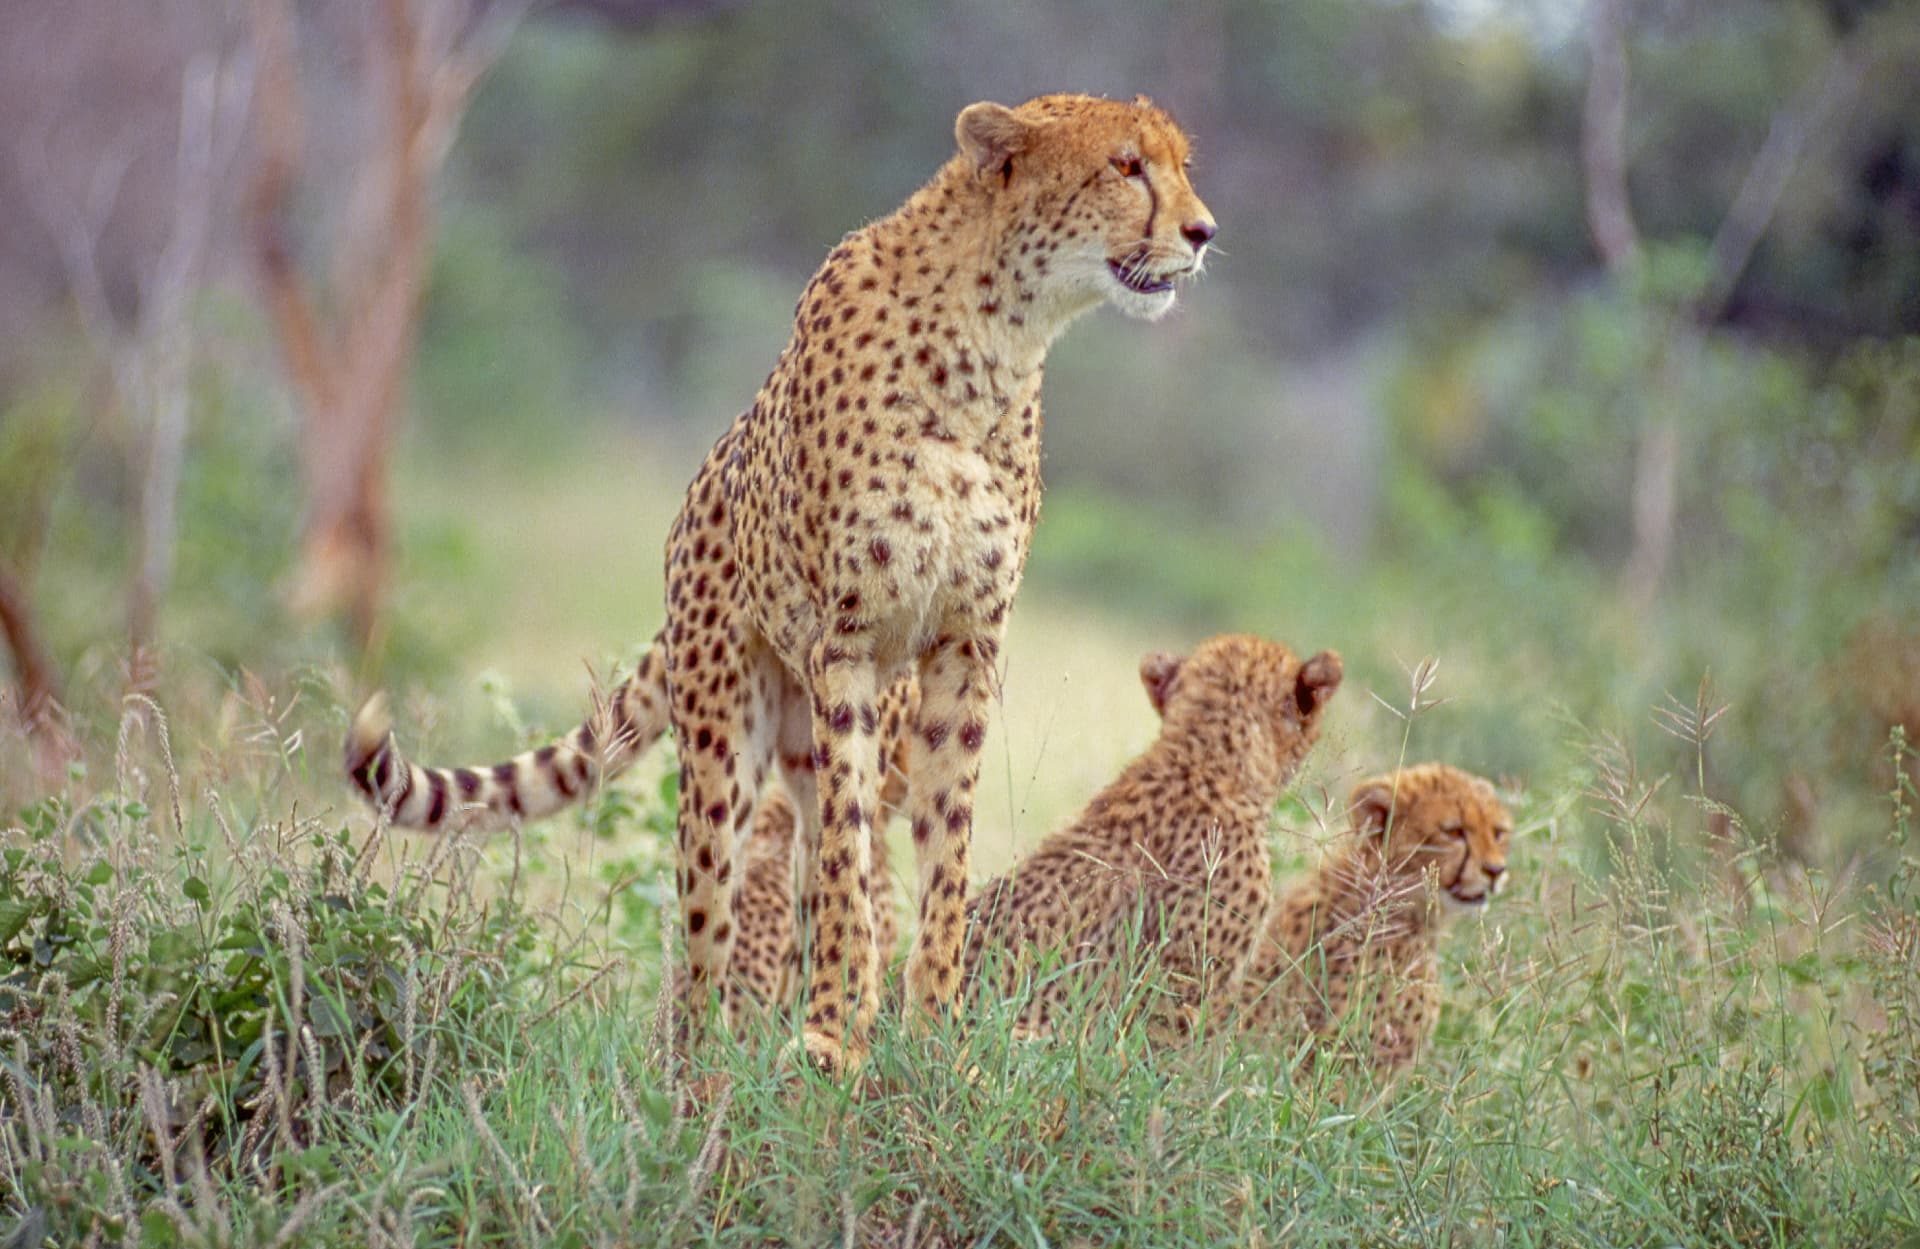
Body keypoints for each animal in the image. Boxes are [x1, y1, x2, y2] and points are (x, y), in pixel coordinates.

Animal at [350, 93, 1216, 1071]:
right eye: (1125, 166)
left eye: (1179, 164)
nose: (1203, 231)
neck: (996, 337)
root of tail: (692, 503)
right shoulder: (848, 641)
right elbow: (848, 855)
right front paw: (838, 1032)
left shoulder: (963, 643)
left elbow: (942, 844)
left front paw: (931, 1028)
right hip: (726, 734)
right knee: (714, 907)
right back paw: (705, 1059)